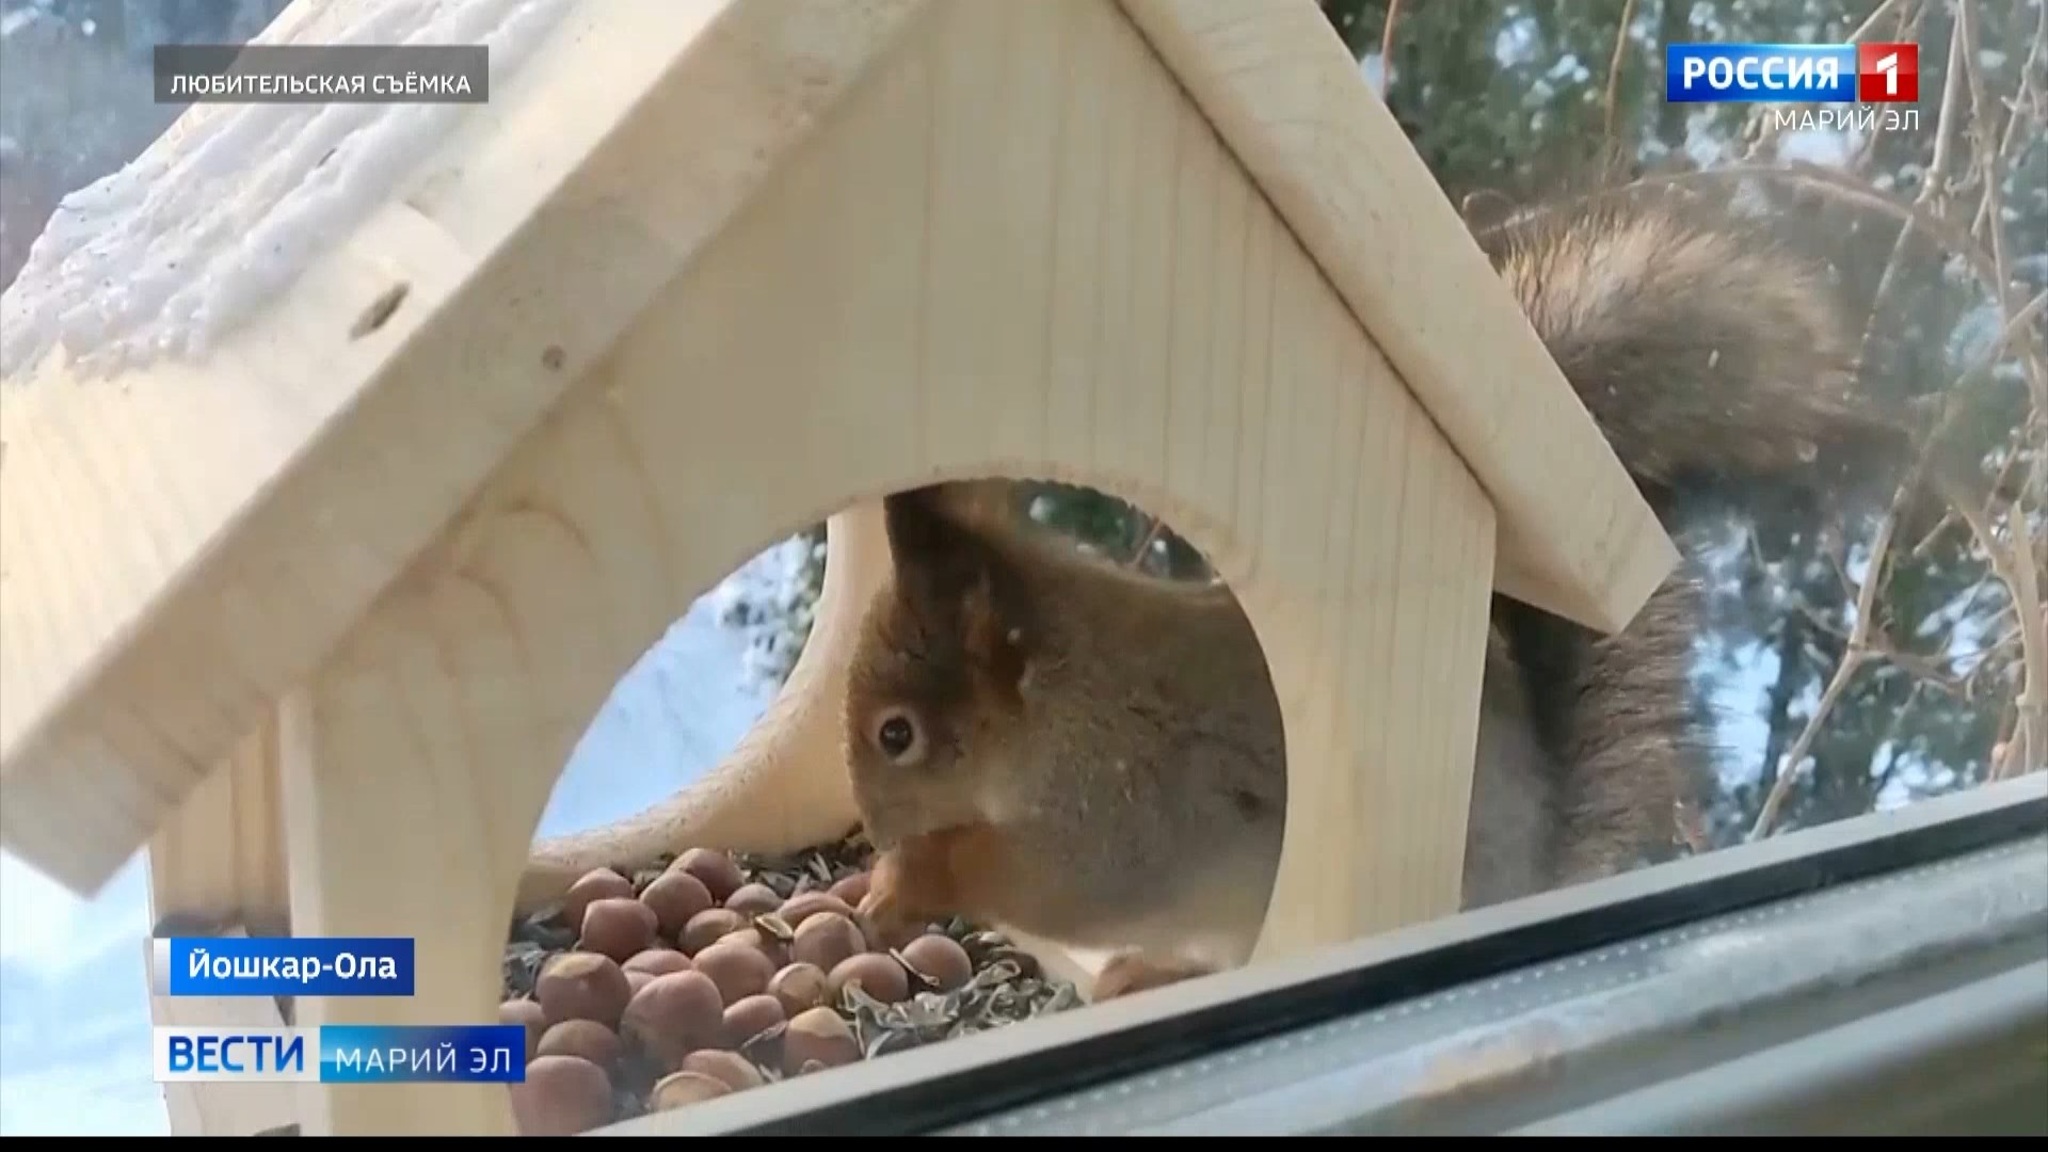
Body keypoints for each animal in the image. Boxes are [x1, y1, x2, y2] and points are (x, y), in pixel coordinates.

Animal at [842, 189, 1929, 1001]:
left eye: (896, 735)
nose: (874, 835)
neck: (1057, 701)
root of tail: (1533, 879)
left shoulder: (1123, 796)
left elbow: (1065, 880)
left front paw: (911, 878)